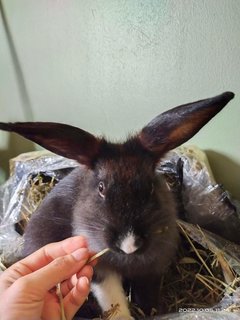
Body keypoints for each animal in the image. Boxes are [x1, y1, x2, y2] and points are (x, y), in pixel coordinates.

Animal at [0, 92, 234, 318]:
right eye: (101, 188)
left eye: (151, 186)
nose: (129, 244)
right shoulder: (99, 268)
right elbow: (112, 296)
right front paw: (123, 316)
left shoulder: (151, 269)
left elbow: (146, 293)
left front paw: (151, 311)